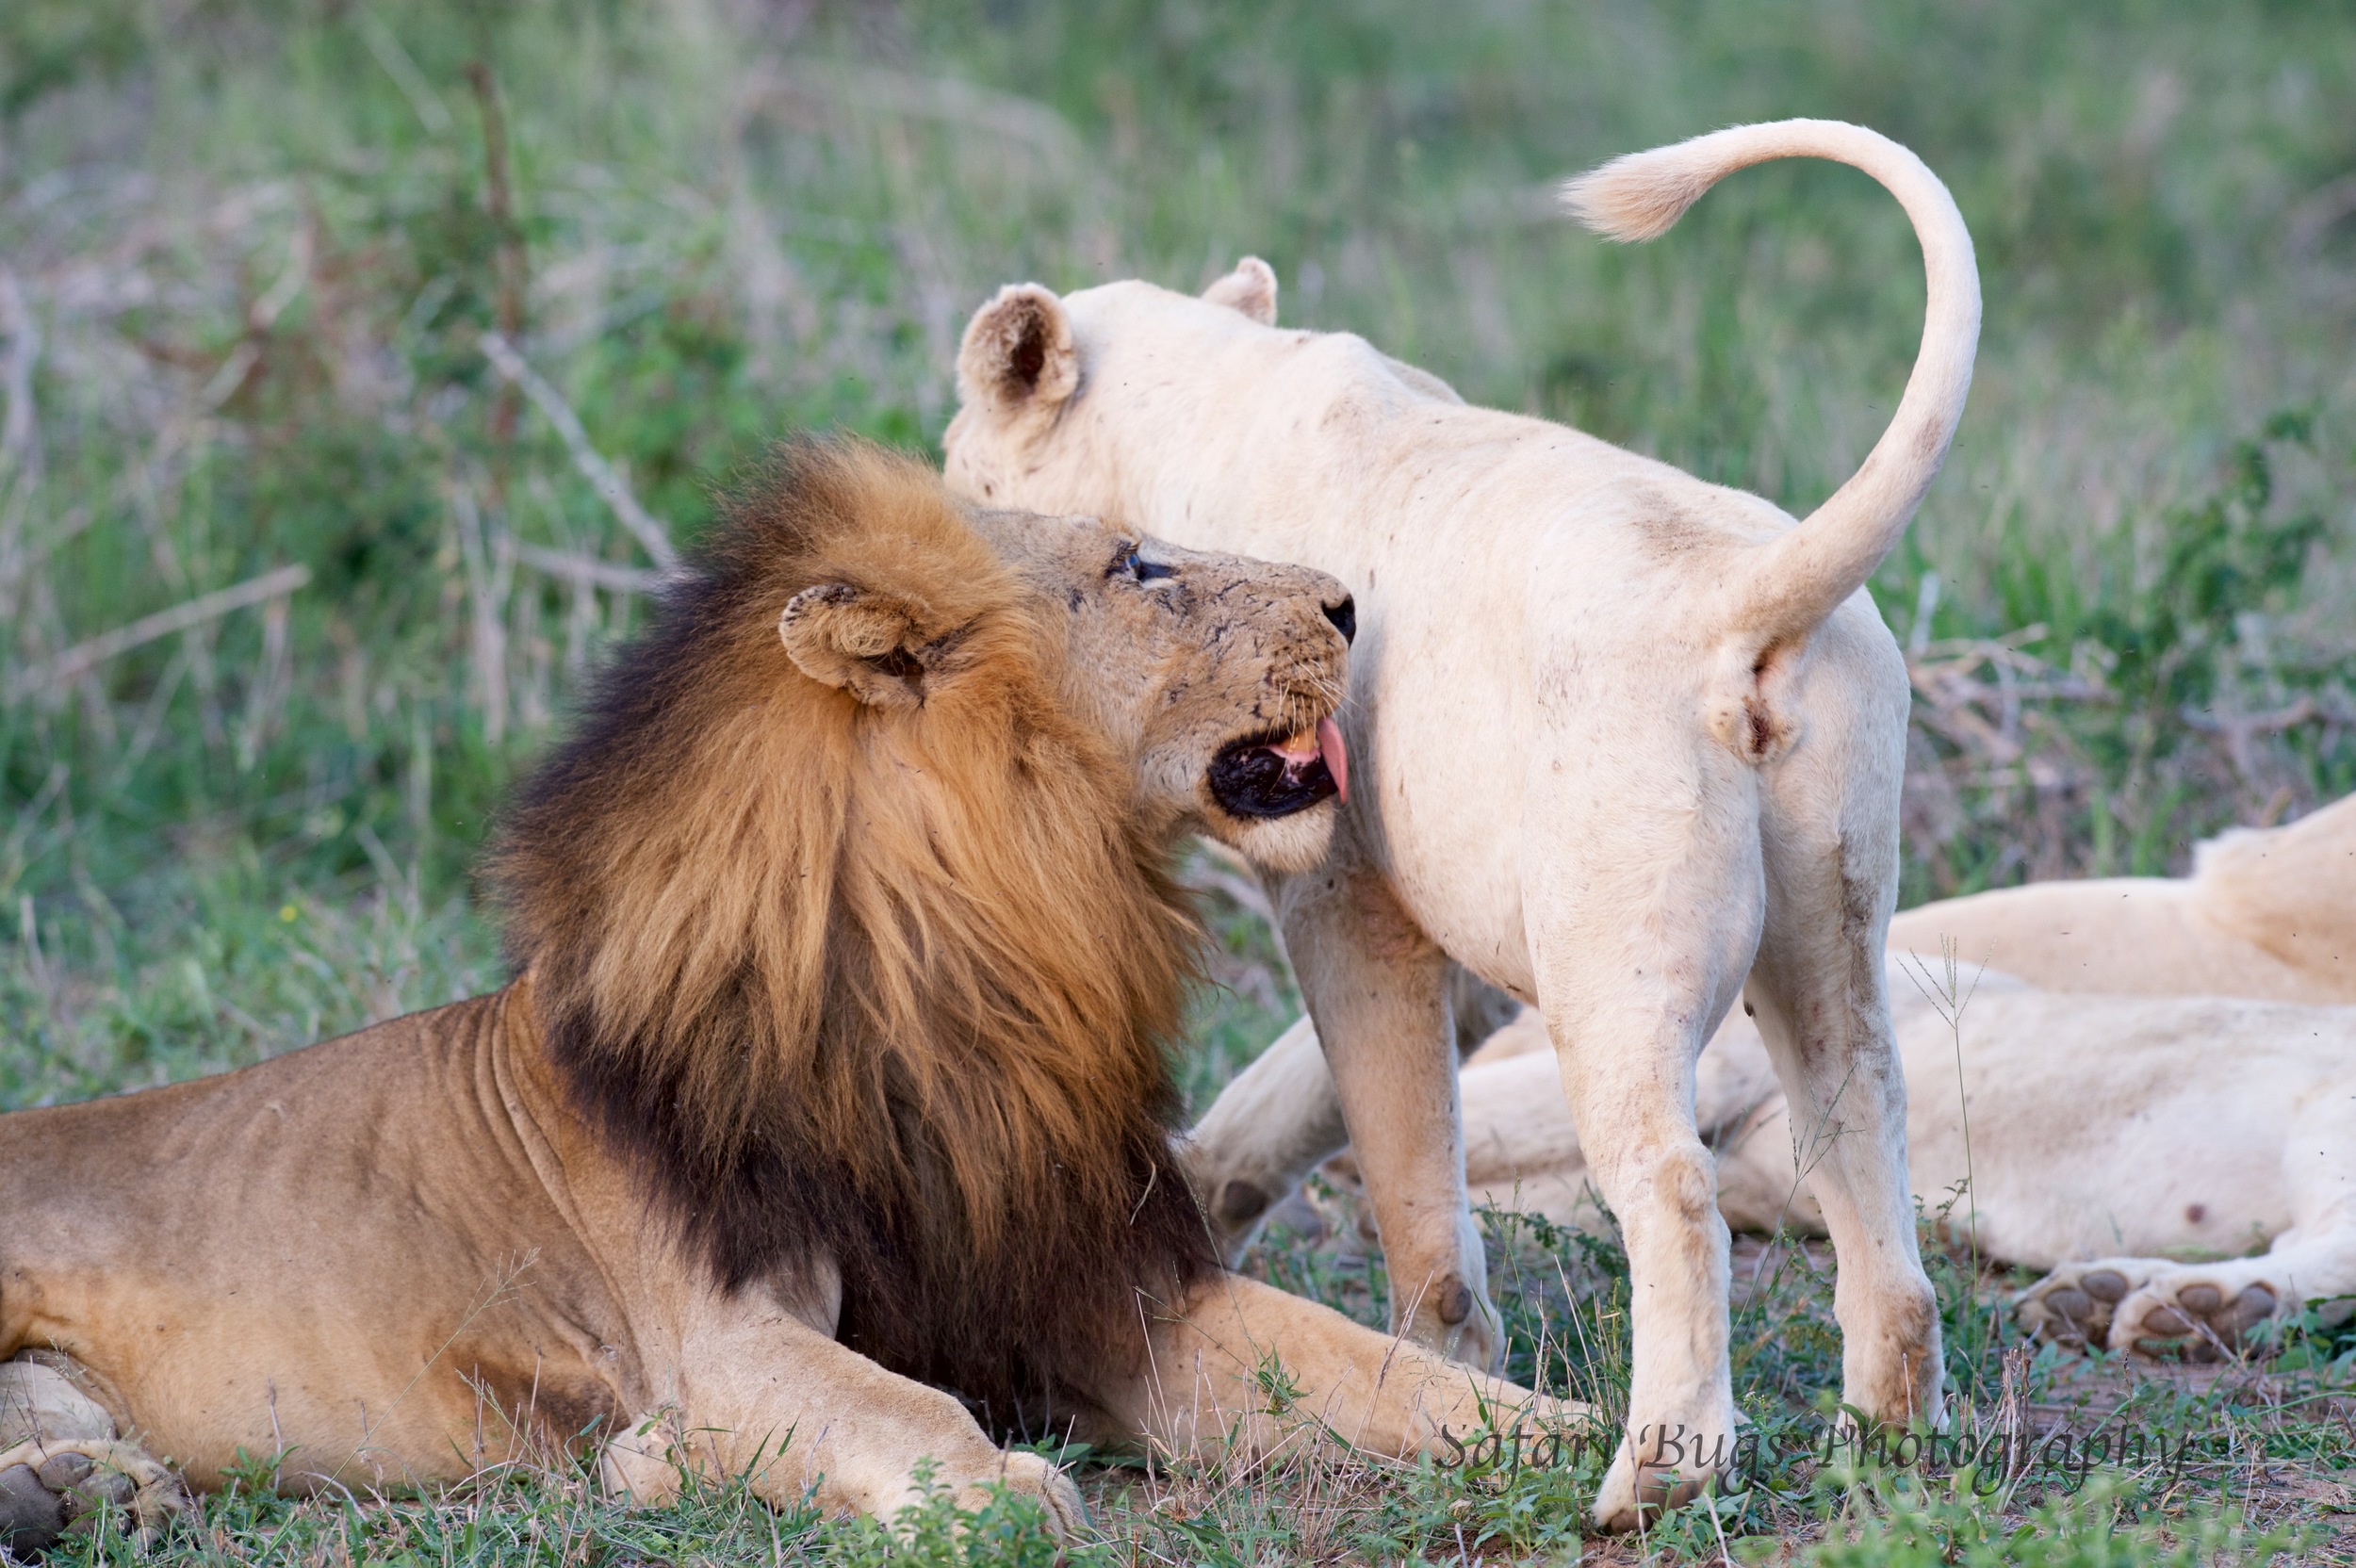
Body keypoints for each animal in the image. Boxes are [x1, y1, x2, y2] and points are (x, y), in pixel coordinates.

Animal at [0, 440, 1564, 1535]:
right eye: (1137, 567)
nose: (1349, 603)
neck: (978, 969)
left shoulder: (1104, 1290)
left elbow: (1379, 1369)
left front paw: (1559, 1432)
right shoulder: (724, 1331)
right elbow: (902, 1407)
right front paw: (993, 1493)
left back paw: (88, 1491)